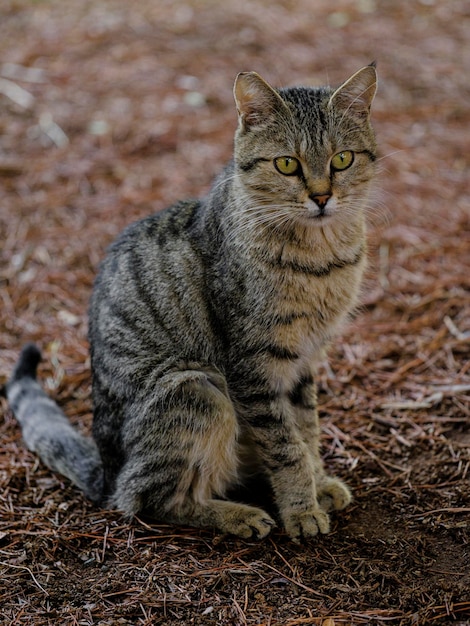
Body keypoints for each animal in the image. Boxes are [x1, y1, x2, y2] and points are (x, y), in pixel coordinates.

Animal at [2, 64, 378, 540]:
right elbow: (285, 445)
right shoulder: (253, 365)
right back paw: (238, 515)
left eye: (342, 159)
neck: (322, 257)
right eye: (287, 164)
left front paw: (319, 482)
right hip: (195, 387)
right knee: (148, 499)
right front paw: (301, 509)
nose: (322, 197)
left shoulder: (304, 361)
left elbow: (306, 429)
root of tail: (105, 471)